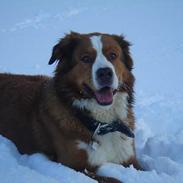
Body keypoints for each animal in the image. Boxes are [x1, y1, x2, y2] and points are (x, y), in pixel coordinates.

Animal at [0, 32, 141, 182]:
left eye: (113, 55)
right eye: (85, 58)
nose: (105, 73)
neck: (104, 124)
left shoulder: (130, 159)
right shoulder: (74, 166)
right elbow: (114, 179)